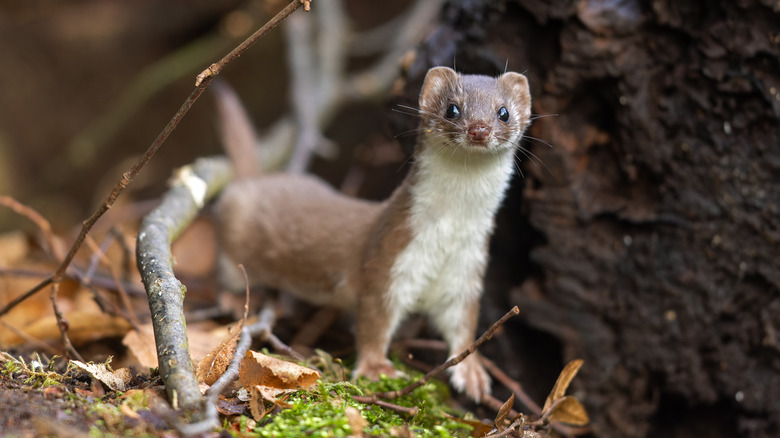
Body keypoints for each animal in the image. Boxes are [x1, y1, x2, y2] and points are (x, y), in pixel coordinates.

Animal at [215, 66, 532, 400]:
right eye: (452, 109)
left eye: (503, 112)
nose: (479, 129)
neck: (448, 232)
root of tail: (255, 179)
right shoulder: (388, 258)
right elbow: (373, 321)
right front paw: (376, 367)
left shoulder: (467, 270)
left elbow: (464, 324)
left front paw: (472, 373)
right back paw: (233, 299)